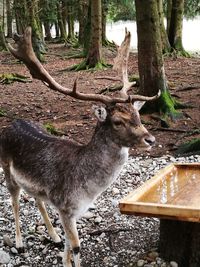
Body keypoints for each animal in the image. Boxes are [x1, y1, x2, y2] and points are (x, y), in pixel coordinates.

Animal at [0, 27, 159, 267]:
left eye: (138, 116)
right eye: (117, 122)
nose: (151, 140)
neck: (87, 190)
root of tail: (12, 123)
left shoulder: (72, 210)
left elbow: (67, 245)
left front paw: (62, 249)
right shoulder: (65, 206)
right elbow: (75, 246)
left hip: (36, 186)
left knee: (37, 199)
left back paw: (54, 236)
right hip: (6, 169)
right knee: (15, 201)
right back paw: (19, 243)